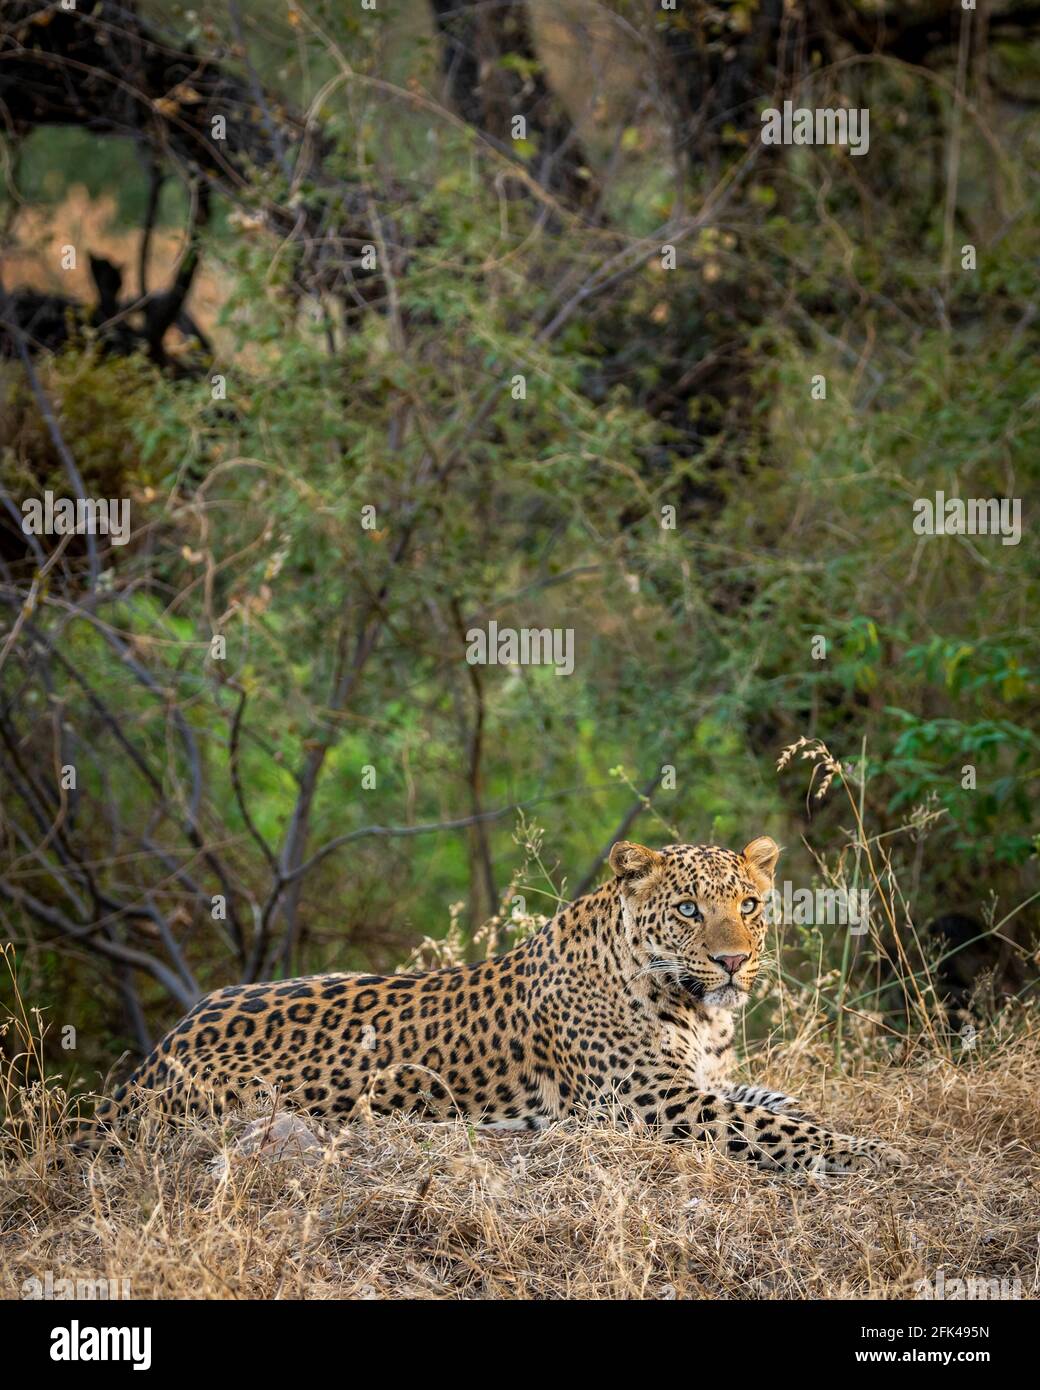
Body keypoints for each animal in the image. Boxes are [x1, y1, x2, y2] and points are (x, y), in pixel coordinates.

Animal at [83, 834, 900, 1173]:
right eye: (690, 910)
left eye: (749, 904)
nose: (735, 960)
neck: (698, 1008)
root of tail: (158, 1053)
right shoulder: (652, 1103)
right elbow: (772, 1129)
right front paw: (870, 1151)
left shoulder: (701, 1080)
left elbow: (772, 1101)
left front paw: (822, 1117)